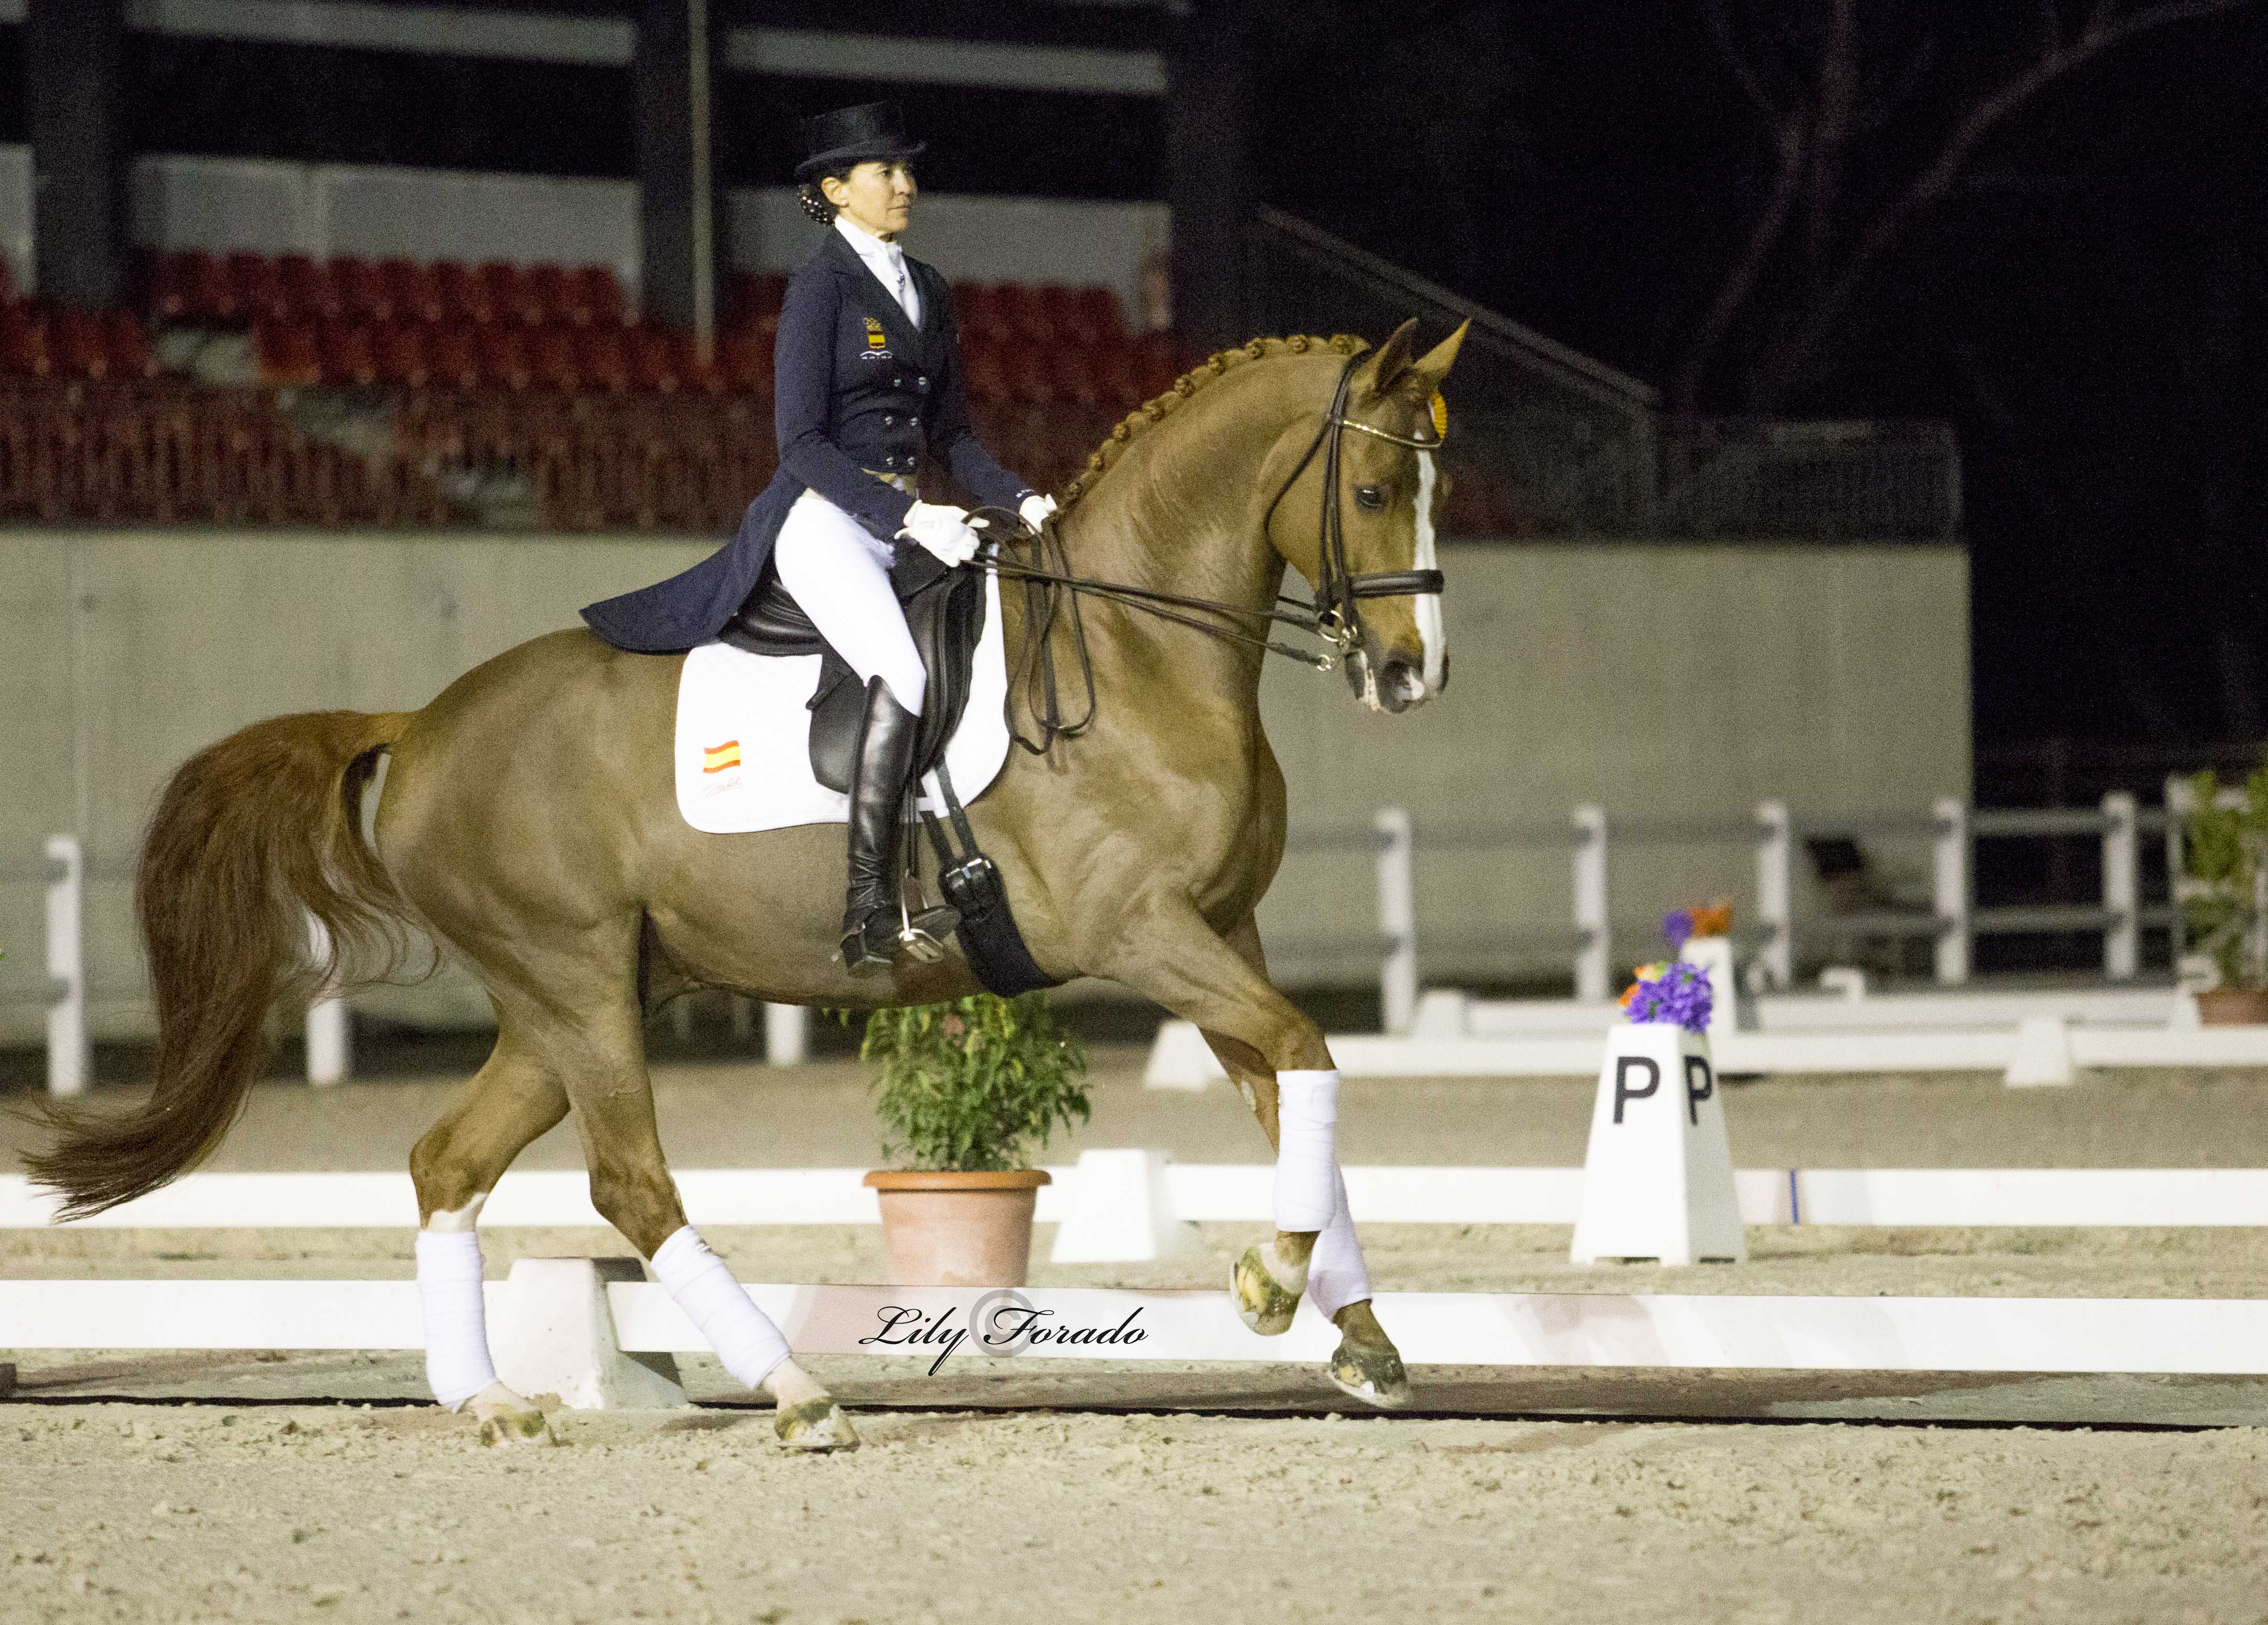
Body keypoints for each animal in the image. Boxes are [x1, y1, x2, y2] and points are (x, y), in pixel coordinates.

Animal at [31, 317, 1470, 1441]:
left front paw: (1358, 1335)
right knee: (629, 1183)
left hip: (572, 1000)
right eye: (1374, 489)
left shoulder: (1228, 931)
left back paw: (488, 1398)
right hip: (575, 982)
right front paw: (1273, 1282)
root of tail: (426, 723)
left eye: (1434, 486)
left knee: (448, 1159)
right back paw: (792, 1389)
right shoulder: (1146, 932)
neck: (1135, 650)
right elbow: (1310, 1060)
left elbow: (1298, 1099)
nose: (1414, 674)